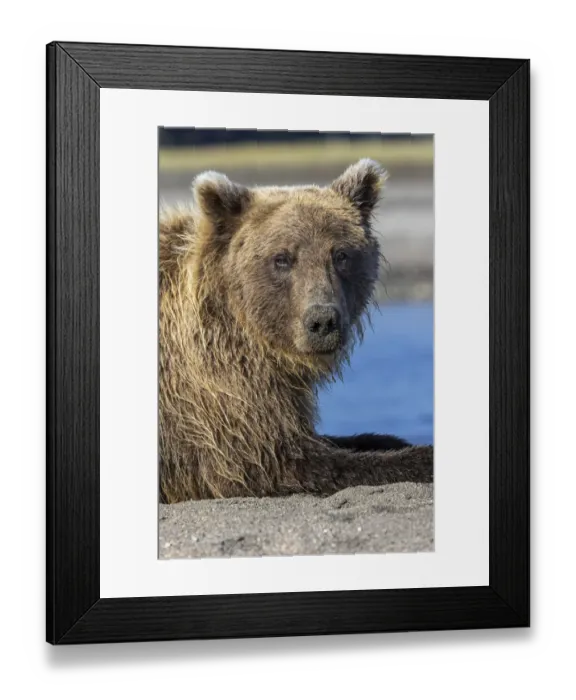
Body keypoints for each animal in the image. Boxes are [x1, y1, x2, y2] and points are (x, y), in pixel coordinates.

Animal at [159, 158, 433, 503]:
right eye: (282, 258)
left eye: (341, 255)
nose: (323, 321)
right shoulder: (212, 396)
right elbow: (282, 462)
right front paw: (421, 457)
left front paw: (388, 438)